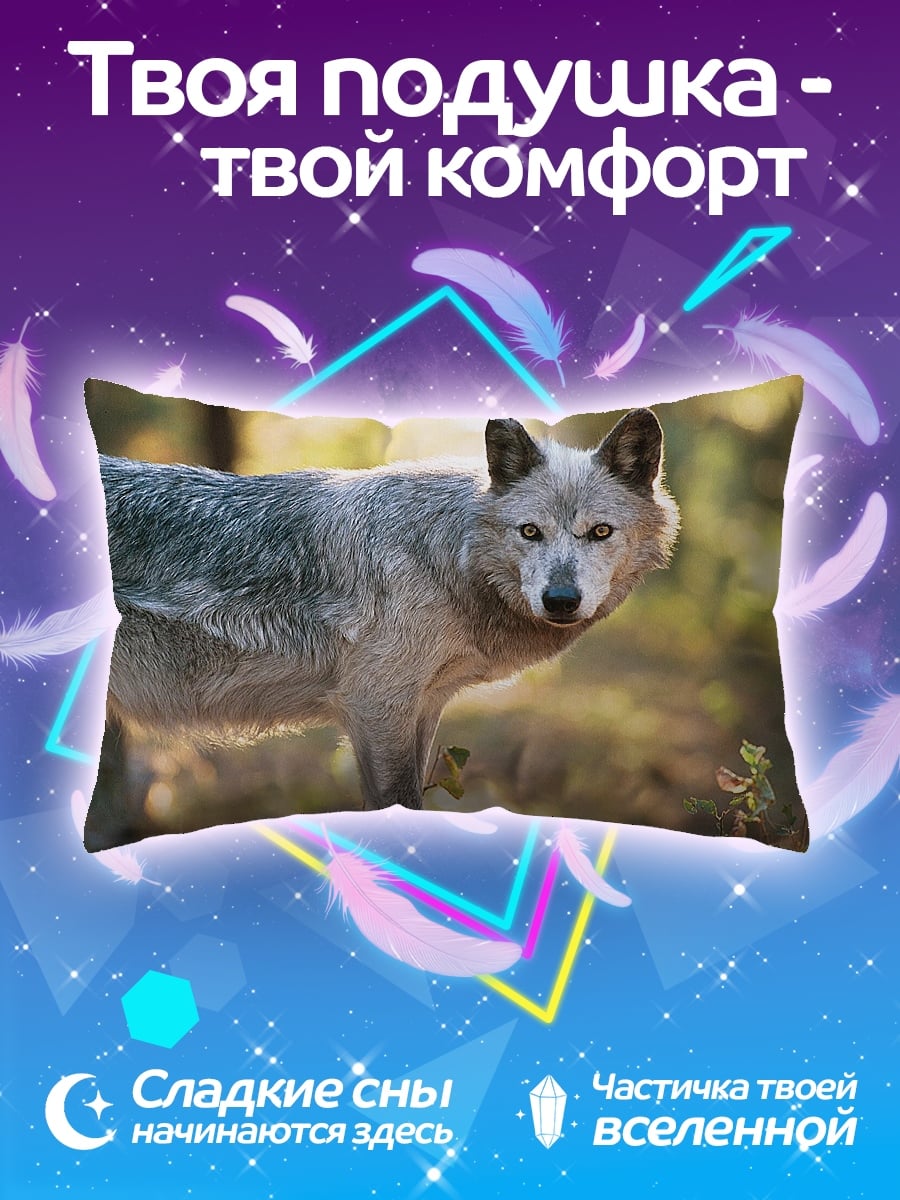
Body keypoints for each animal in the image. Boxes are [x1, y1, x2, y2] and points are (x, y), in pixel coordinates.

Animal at [84, 409, 679, 850]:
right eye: (530, 532)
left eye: (599, 532)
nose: (560, 601)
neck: (448, 555)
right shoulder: (375, 707)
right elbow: (396, 805)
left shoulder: (421, 707)